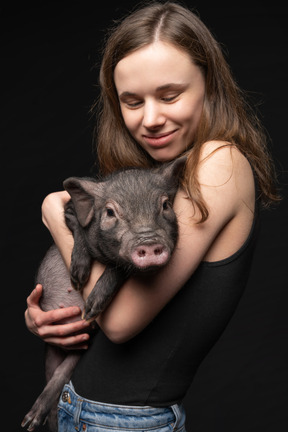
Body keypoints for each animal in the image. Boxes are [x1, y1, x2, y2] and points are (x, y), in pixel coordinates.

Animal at [21, 156, 186, 432]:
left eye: (165, 205)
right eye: (110, 212)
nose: (149, 243)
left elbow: (118, 270)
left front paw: (91, 308)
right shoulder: (68, 211)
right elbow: (78, 230)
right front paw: (78, 277)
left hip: (81, 347)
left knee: (61, 376)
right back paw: (29, 423)